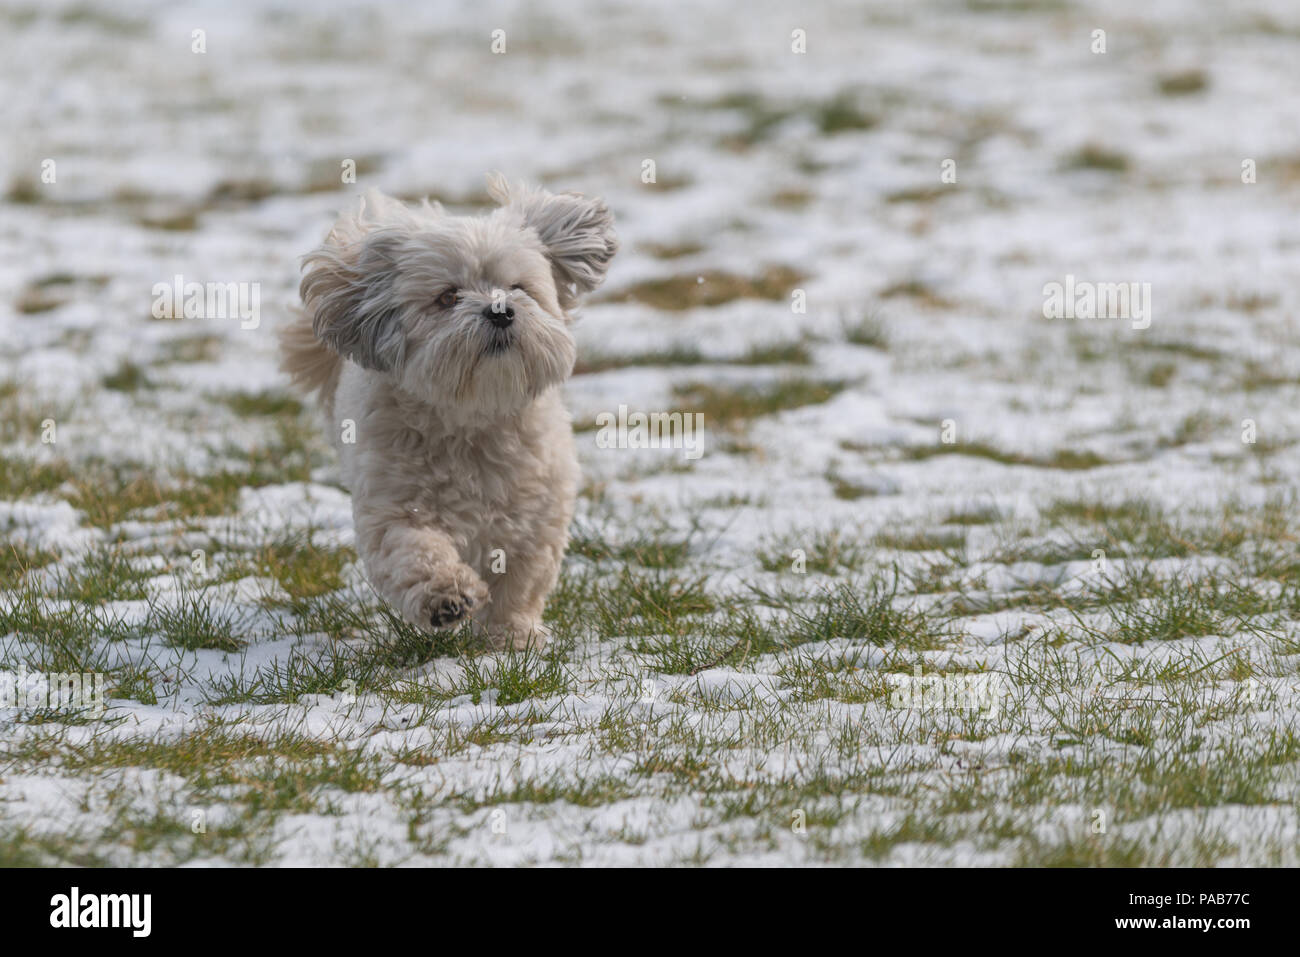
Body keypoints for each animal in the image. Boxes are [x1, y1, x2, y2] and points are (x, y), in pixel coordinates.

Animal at [278, 174, 618, 650]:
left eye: (518, 287)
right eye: (447, 297)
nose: (500, 310)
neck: (471, 419)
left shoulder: (538, 516)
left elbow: (520, 581)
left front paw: (511, 636)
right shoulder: (392, 510)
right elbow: (415, 552)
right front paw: (446, 596)